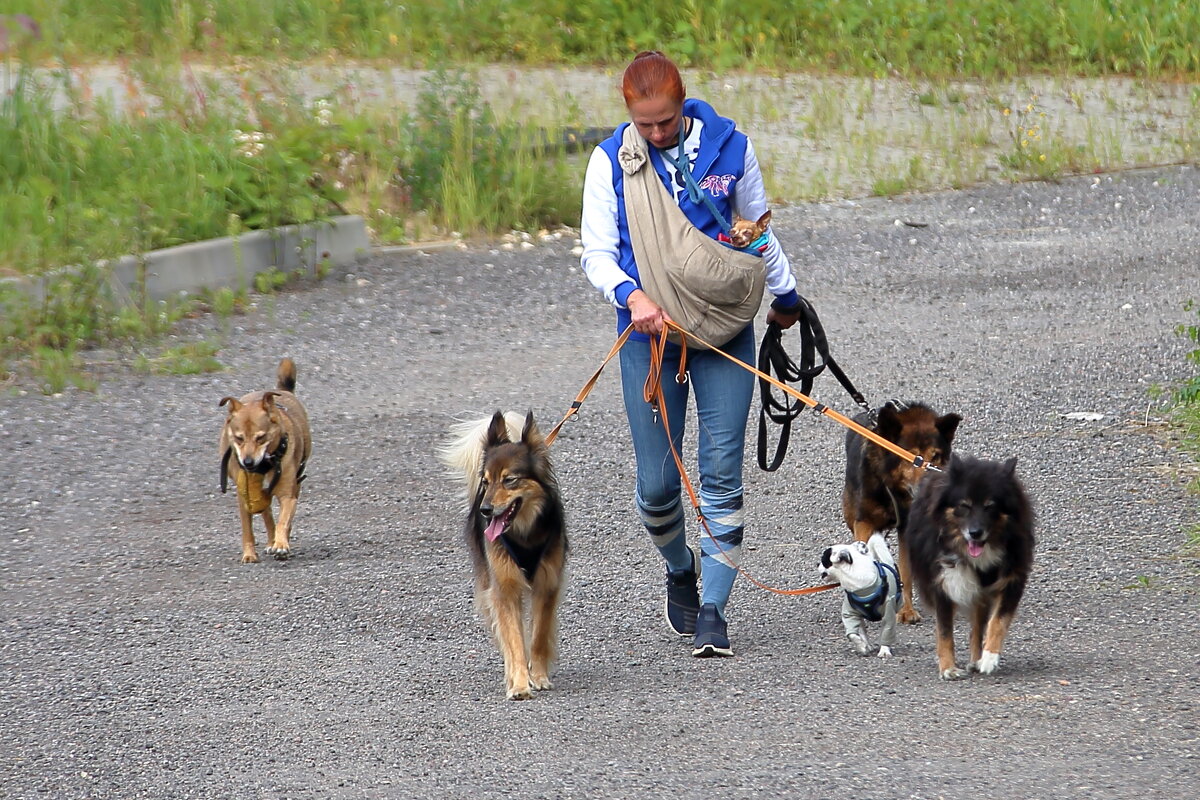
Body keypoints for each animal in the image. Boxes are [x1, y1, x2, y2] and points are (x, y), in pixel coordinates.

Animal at [439, 412, 568, 700]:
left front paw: (538, 676)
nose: (485, 510)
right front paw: (519, 683)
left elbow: (539, 635)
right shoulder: (504, 587)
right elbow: (514, 639)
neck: (524, 532)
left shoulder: (547, 583)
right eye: (486, 482)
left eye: (510, 480)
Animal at [844, 400, 964, 623]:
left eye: (936, 456)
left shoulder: (907, 530)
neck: (896, 490)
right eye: (912, 457)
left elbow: (907, 573)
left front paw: (907, 610)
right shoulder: (864, 522)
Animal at [902, 453, 1036, 681]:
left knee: (978, 625)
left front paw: (989, 657)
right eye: (964, 506)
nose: (975, 533)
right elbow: (945, 630)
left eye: (990, 506)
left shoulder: (1011, 580)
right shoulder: (944, 583)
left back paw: (977, 659)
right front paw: (948, 668)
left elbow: (997, 622)